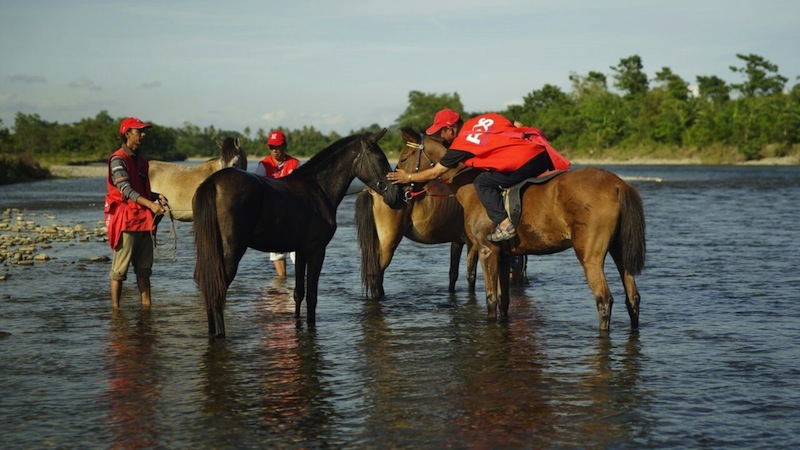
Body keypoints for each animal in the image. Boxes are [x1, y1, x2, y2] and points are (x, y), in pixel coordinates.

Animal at [193, 130, 404, 337]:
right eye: (379, 158)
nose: (397, 196)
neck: (318, 188)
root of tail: (213, 183)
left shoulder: (300, 251)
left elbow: (298, 293)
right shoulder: (317, 250)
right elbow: (311, 297)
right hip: (231, 254)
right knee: (217, 292)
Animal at [397, 128, 646, 332]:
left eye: (404, 158)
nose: (397, 190)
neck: (469, 188)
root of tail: (618, 184)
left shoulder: (487, 251)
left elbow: (491, 299)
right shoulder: (504, 256)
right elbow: (504, 301)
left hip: (589, 256)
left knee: (604, 299)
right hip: (620, 251)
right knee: (632, 297)